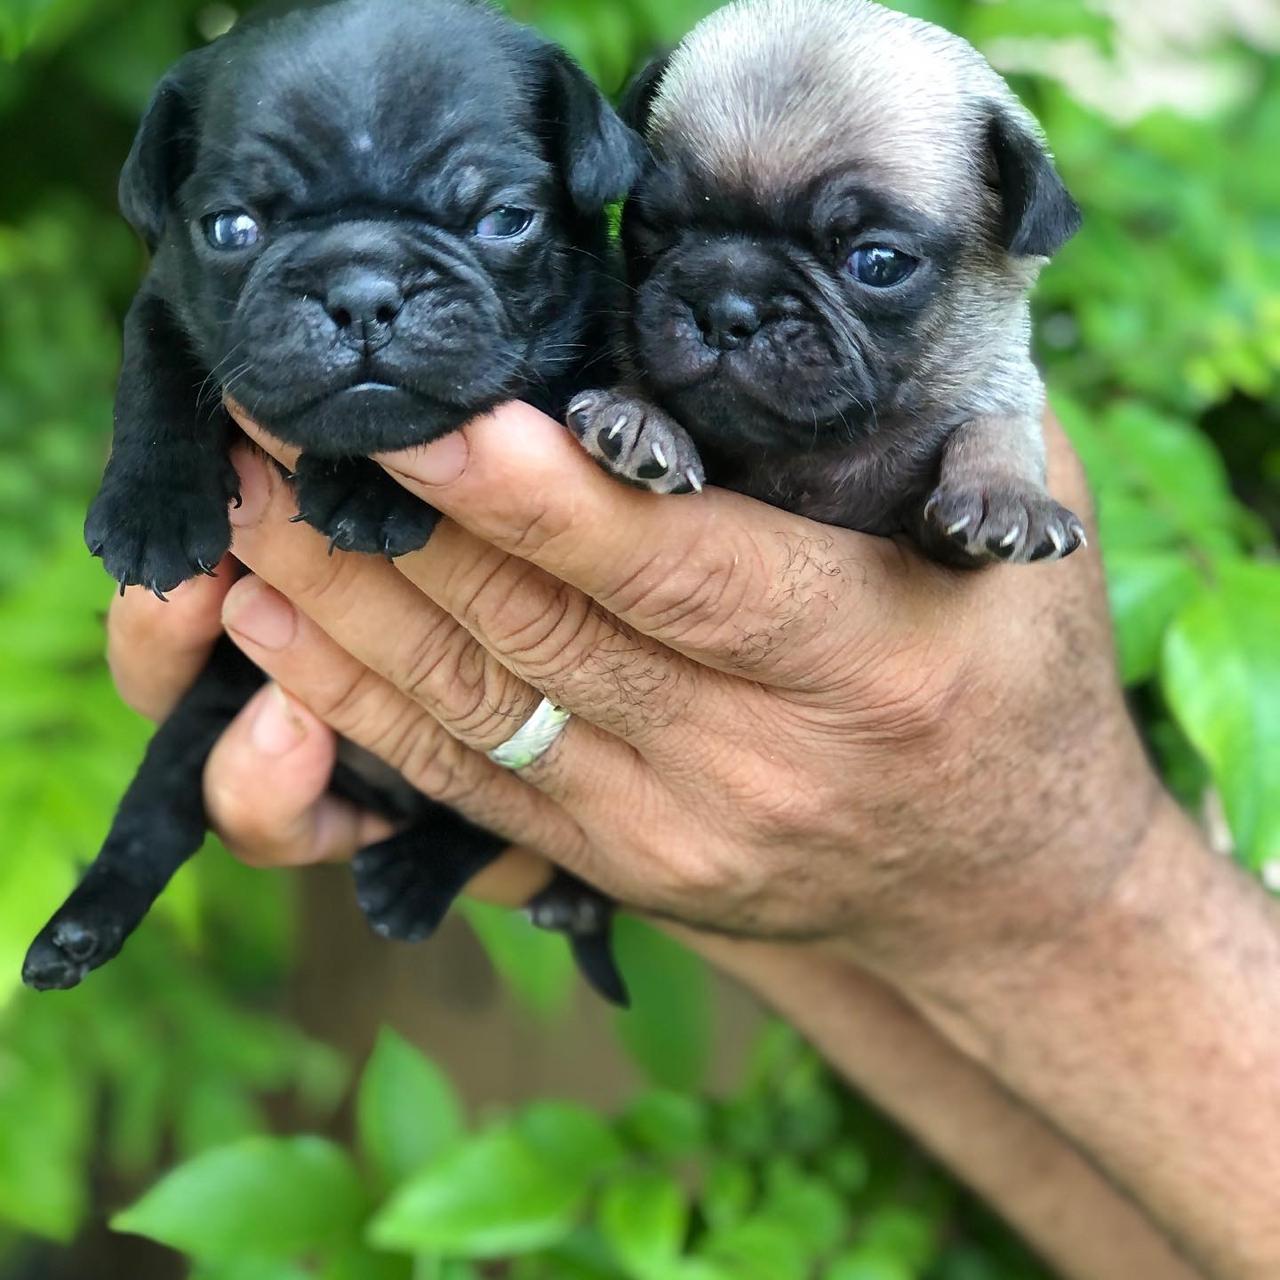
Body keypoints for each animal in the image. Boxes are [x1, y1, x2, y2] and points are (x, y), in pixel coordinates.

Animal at [30, 0, 645, 998]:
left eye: (504, 219)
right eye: (230, 229)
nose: (362, 290)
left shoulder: (586, 357)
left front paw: (367, 487)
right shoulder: (168, 296)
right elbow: (155, 365)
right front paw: (153, 510)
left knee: (501, 815)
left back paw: (414, 872)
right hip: (215, 706)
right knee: (154, 812)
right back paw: (80, 927)